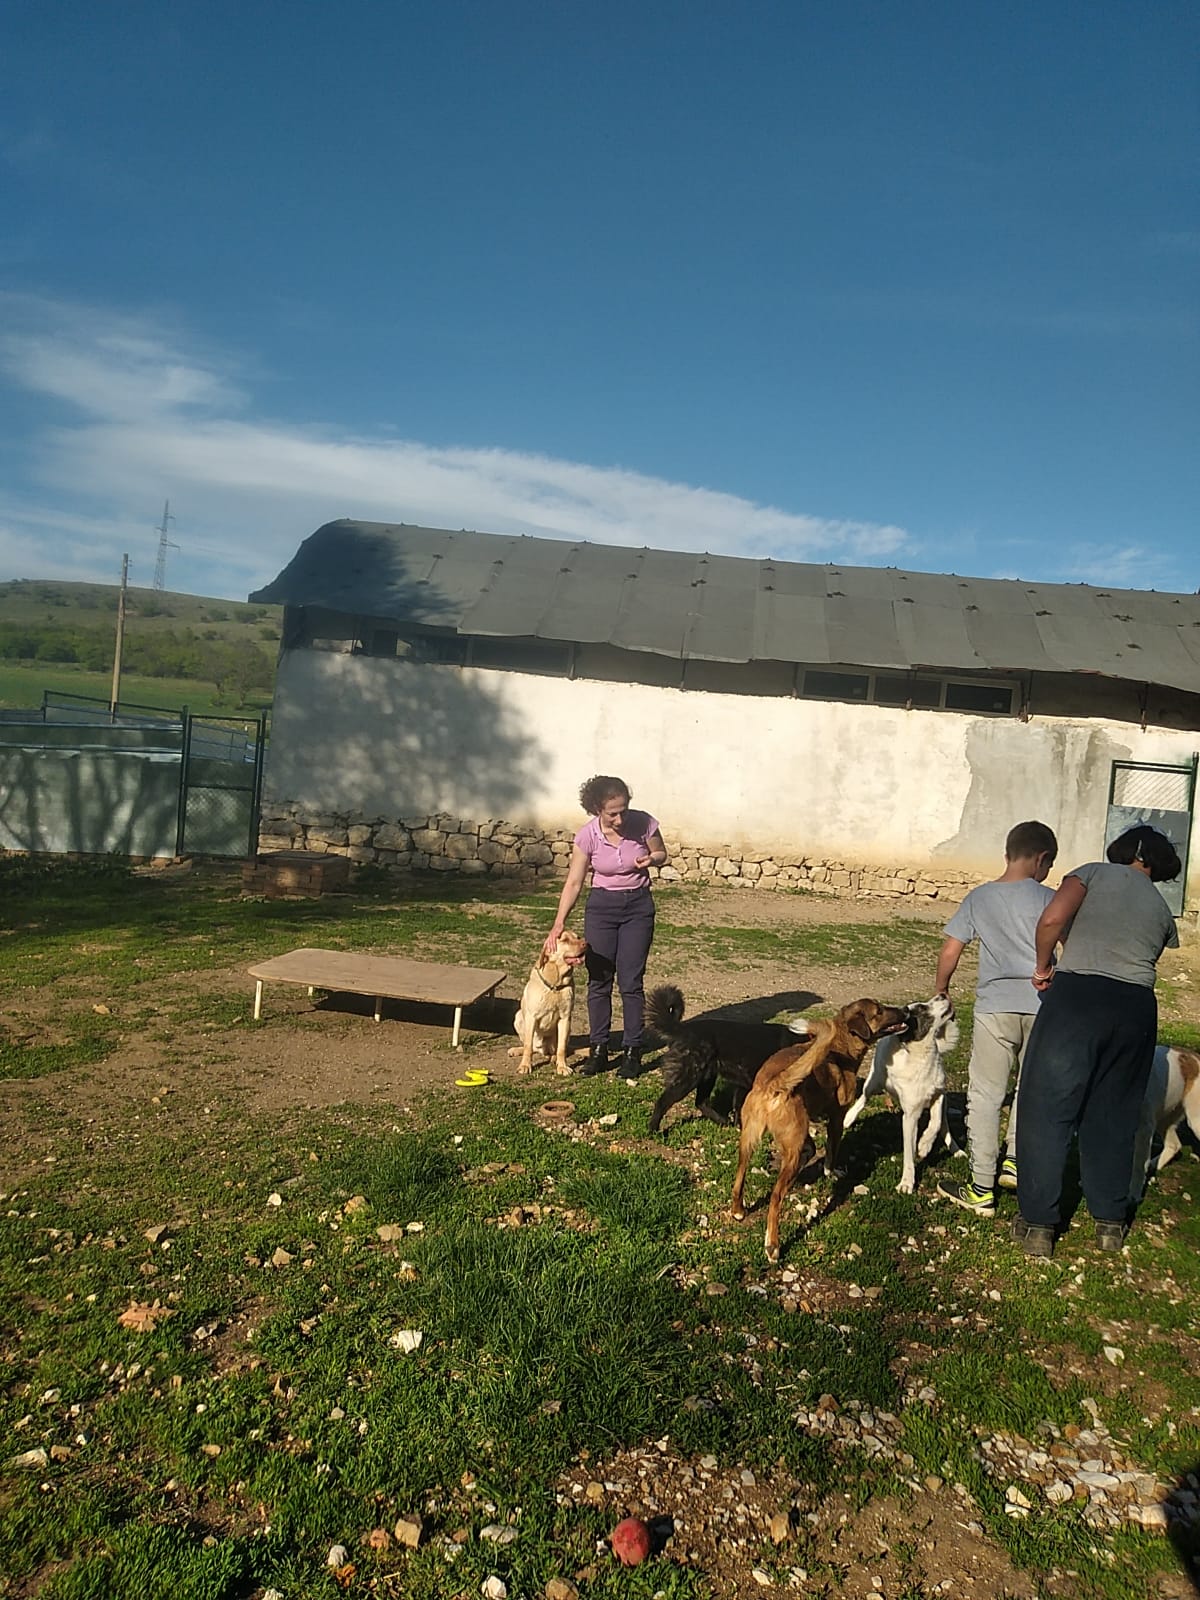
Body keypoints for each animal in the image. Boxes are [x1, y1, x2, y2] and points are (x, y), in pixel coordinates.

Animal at [508, 930, 588, 1075]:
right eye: (565, 940)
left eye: (578, 937)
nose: (586, 943)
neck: (555, 984)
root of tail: (543, 1049)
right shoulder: (531, 1017)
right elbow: (528, 1046)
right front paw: (525, 1065)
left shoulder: (565, 1018)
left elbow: (562, 1048)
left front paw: (562, 1066)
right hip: (518, 1017)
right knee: (531, 1047)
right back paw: (517, 1050)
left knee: (558, 1049)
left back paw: (554, 1058)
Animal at [644, 985, 799, 1133]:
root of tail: (682, 1029)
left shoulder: (744, 1085)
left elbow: (739, 1107)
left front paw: (740, 1127)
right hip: (689, 1078)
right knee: (663, 1102)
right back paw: (654, 1130)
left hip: (707, 1077)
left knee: (701, 1102)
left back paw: (723, 1121)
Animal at [730, 999, 911, 1262]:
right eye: (879, 1011)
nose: (906, 1010)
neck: (841, 1046)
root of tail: (775, 1083)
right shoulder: (836, 1118)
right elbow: (832, 1150)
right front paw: (830, 1171)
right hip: (791, 1147)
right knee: (775, 1197)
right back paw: (773, 1245)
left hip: (749, 1141)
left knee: (739, 1178)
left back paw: (738, 1210)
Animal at [841, 993, 961, 1194]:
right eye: (922, 1008)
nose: (943, 994)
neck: (921, 1056)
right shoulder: (910, 1117)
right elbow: (909, 1155)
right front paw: (907, 1182)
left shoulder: (938, 1094)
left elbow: (935, 1123)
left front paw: (925, 1145)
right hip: (874, 1081)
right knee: (863, 1098)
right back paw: (849, 1117)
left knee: (943, 1123)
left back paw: (956, 1149)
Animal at [1131, 1045, 1200, 1203]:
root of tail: (1195, 1057)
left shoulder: (1144, 1130)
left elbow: (1138, 1166)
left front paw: (1133, 1193)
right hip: (1165, 1120)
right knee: (1174, 1145)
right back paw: (1154, 1165)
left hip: (1195, 1120)